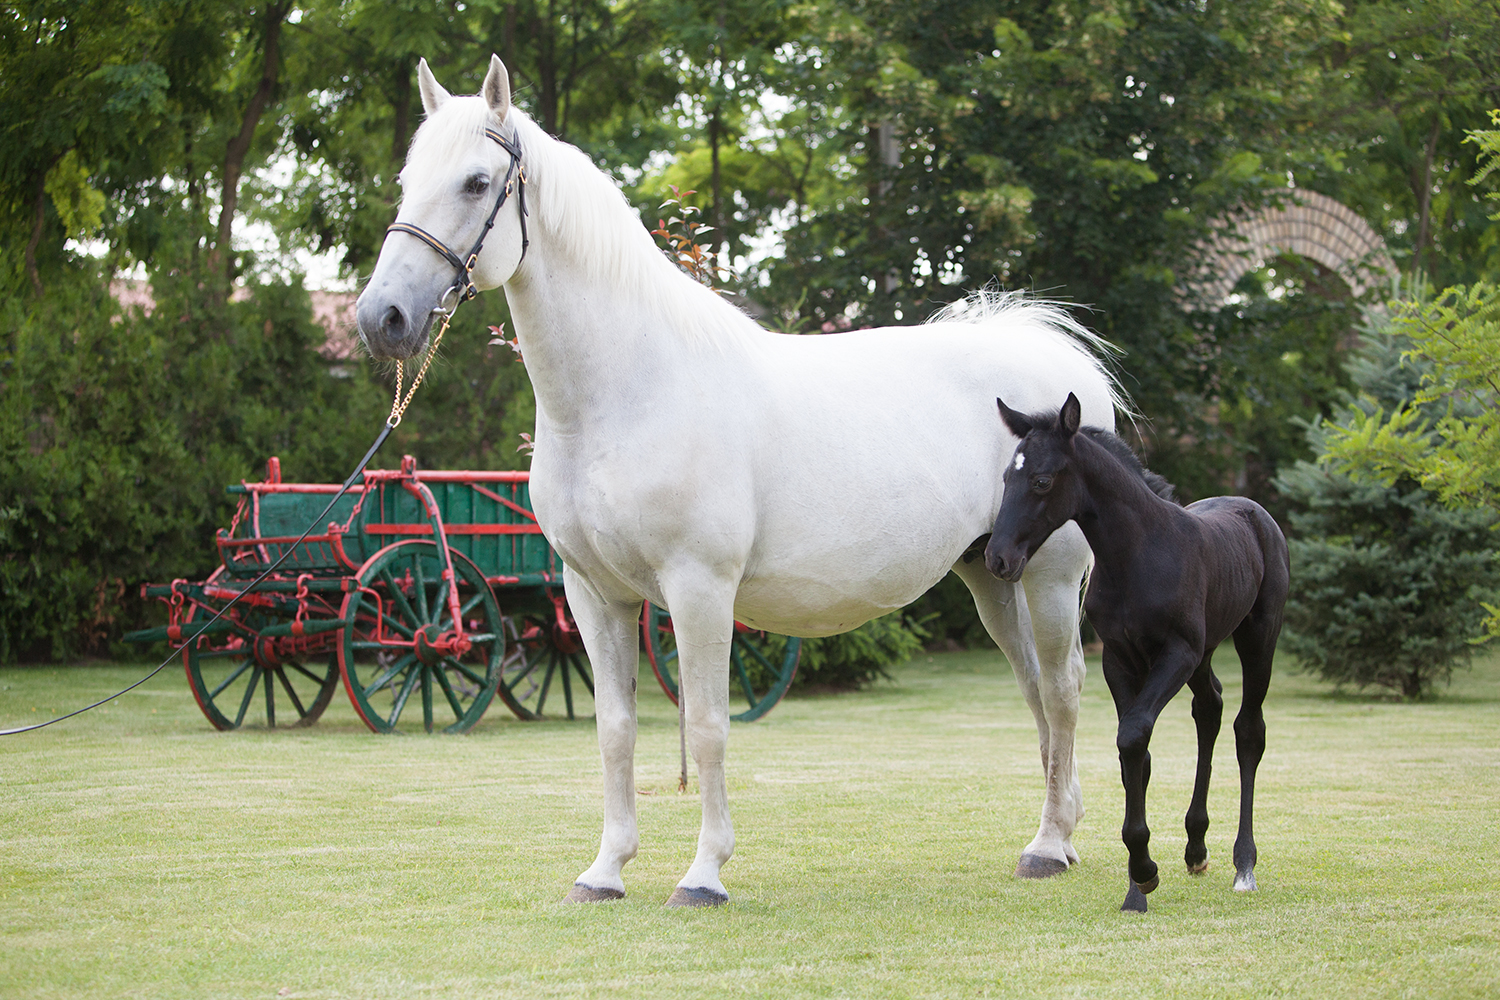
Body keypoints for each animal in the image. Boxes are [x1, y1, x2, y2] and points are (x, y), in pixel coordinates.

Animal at [356, 55, 1127, 907]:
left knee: (1061, 690)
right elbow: (616, 730)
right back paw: (1054, 835)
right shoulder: (595, 593)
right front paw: (604, 871)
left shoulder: (699, 589)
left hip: (1049, 580)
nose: (382, 318)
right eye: (407, 179)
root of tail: (1058, 369)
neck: (629, 390)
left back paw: (1051, 845)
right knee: (1037, 694)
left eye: (475, 182)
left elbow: (706, 726)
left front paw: (702, 875)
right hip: (992, 576)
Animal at [984, 393, 1288, 913]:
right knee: (1209, 707)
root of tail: (1254, 509)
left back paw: (1244, 865)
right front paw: (1137, 885)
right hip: (1206, 653)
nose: (997, 558)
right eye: (1006, 477)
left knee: (1248, 729)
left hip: (1257, 637)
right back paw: (1195, 848)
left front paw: (1144, 869)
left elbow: (1132, 737)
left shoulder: (1177, 652)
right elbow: (1136, 754)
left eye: (1042, 480)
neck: (1139, 553)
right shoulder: (1120, 658)